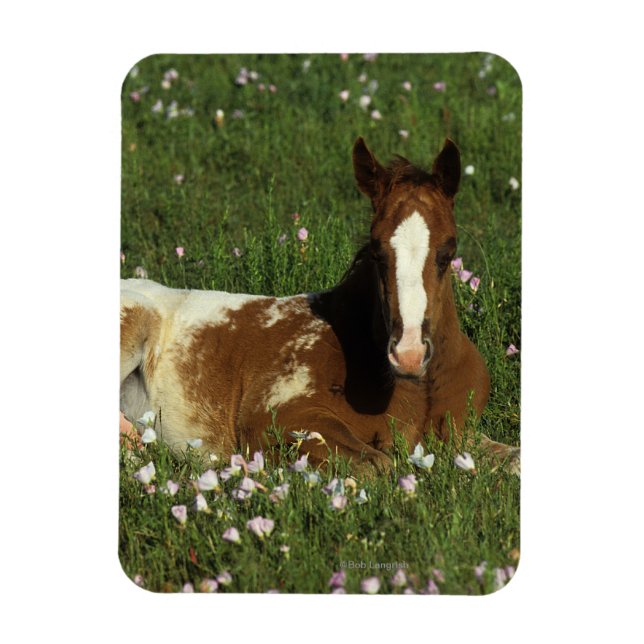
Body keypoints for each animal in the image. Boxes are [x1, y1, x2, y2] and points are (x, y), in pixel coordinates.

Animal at [120, 137, 520, 474]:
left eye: (448, 251)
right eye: (377, 251)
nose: (408, 354)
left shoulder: (464, 435)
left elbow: (514, 459)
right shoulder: (272, 417)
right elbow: (377, 466)